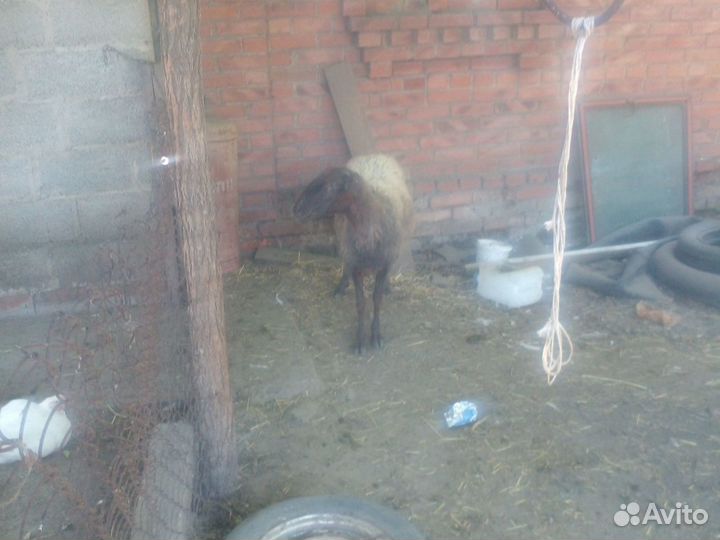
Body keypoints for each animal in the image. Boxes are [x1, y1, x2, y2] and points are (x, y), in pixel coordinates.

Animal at [293, 154, 414, 353]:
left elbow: (377, 300)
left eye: (329, 187)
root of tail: (373, 155)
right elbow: (361, 303)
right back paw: (341, 286)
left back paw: (387, 286)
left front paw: (376, 336)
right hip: (342, 238)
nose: (296, 209)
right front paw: (360, 340)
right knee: (345, 263)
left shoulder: (385, 263)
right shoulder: (356, 264)